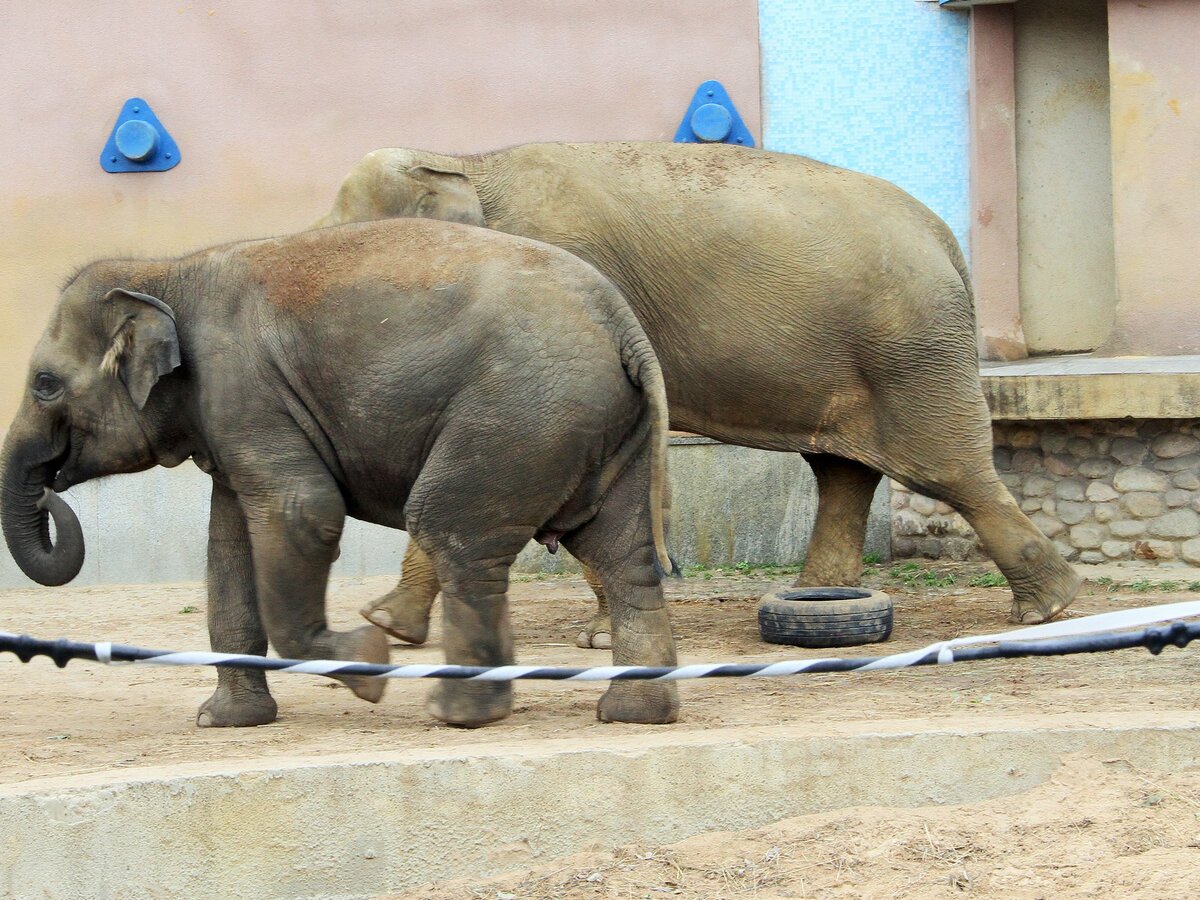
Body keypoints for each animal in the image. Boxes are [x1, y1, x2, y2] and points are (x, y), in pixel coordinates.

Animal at [0, 220, 681, 734]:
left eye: (45, 384)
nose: (52, 491)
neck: (166, 271)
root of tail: (623, 325)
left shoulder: (243, 389)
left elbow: (302, 512)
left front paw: (368, 665)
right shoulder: (231, 420)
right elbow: (230, 548)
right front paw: (223, 721)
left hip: (521, 415)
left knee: (453, 531)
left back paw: (458, 713)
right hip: (598, 427)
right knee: (620, 553)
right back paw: (634, 712)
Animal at [314, 139, 1084, 643]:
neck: (469, 162)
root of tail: (946, 239)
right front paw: (393, 626)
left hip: (912, 352)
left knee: (946, 469)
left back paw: (1047, 611)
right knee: (843, 470)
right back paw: (813, 598)